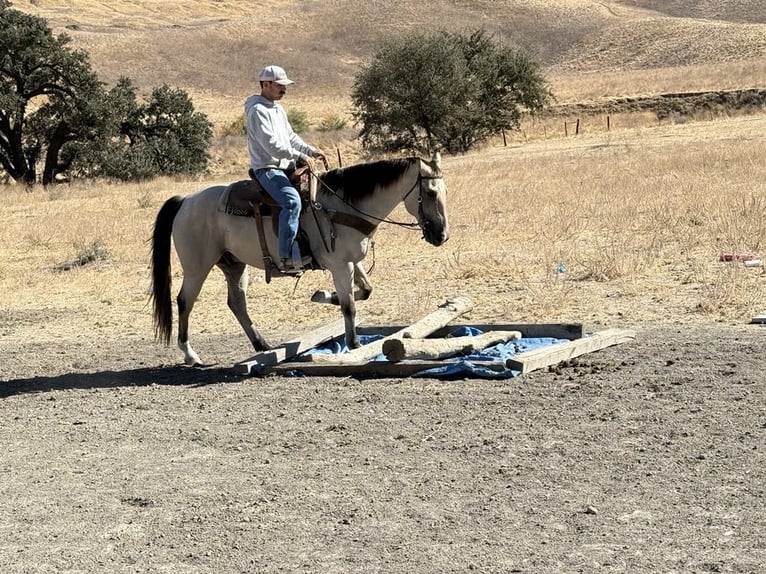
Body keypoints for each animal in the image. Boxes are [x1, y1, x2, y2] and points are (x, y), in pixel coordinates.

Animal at [150, 152, 449, 366]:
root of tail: (187, 200)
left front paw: (322, 295)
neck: (342, 206)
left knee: (236, 302)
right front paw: (354, 345)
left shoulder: (353, 262)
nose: (442, 235)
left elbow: (365, 291)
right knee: (185, 301)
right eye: (430, 192)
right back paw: (191, 355)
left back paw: (262, 346)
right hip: (197, 266)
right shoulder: (340, 265)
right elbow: (350, 306)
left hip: (234, 264)